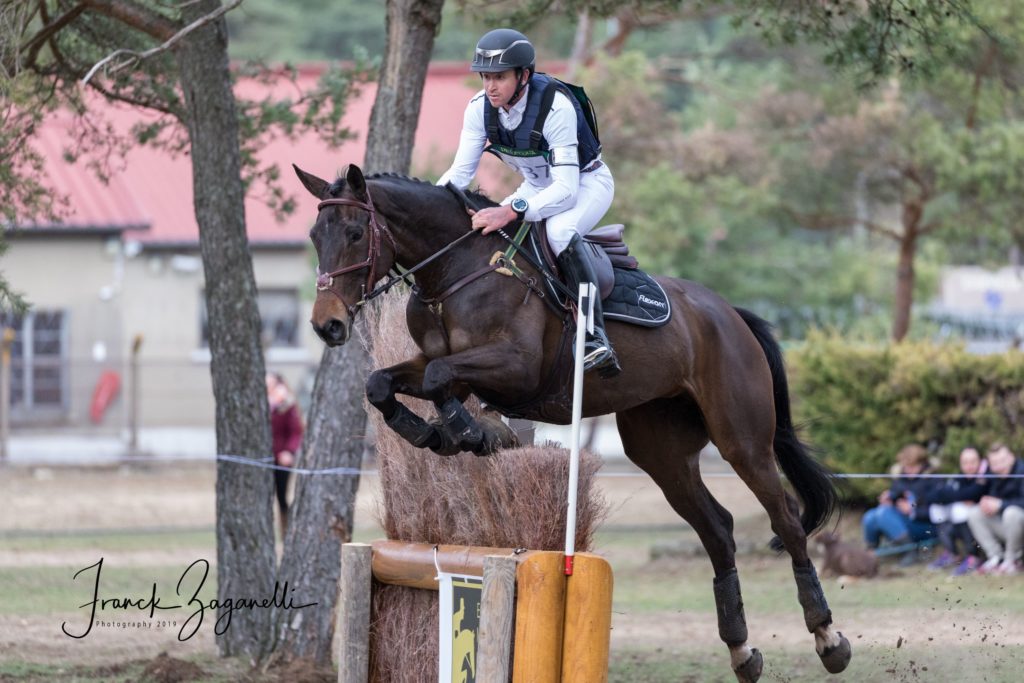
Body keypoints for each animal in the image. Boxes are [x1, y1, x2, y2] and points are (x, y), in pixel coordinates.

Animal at [294, 162, 847, 679]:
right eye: (315, 236)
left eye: (355, 233)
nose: (327, 325)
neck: (455, 270)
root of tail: (729, 313)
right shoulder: (440, 365)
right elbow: (385, 383)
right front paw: (435, 432)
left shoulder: (515, 367)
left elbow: (437, 378)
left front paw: (471, 432)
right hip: (661, 452)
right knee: (718, 530)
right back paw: (742, 651)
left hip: (741, 439)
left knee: (786, 520)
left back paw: (827, 637)